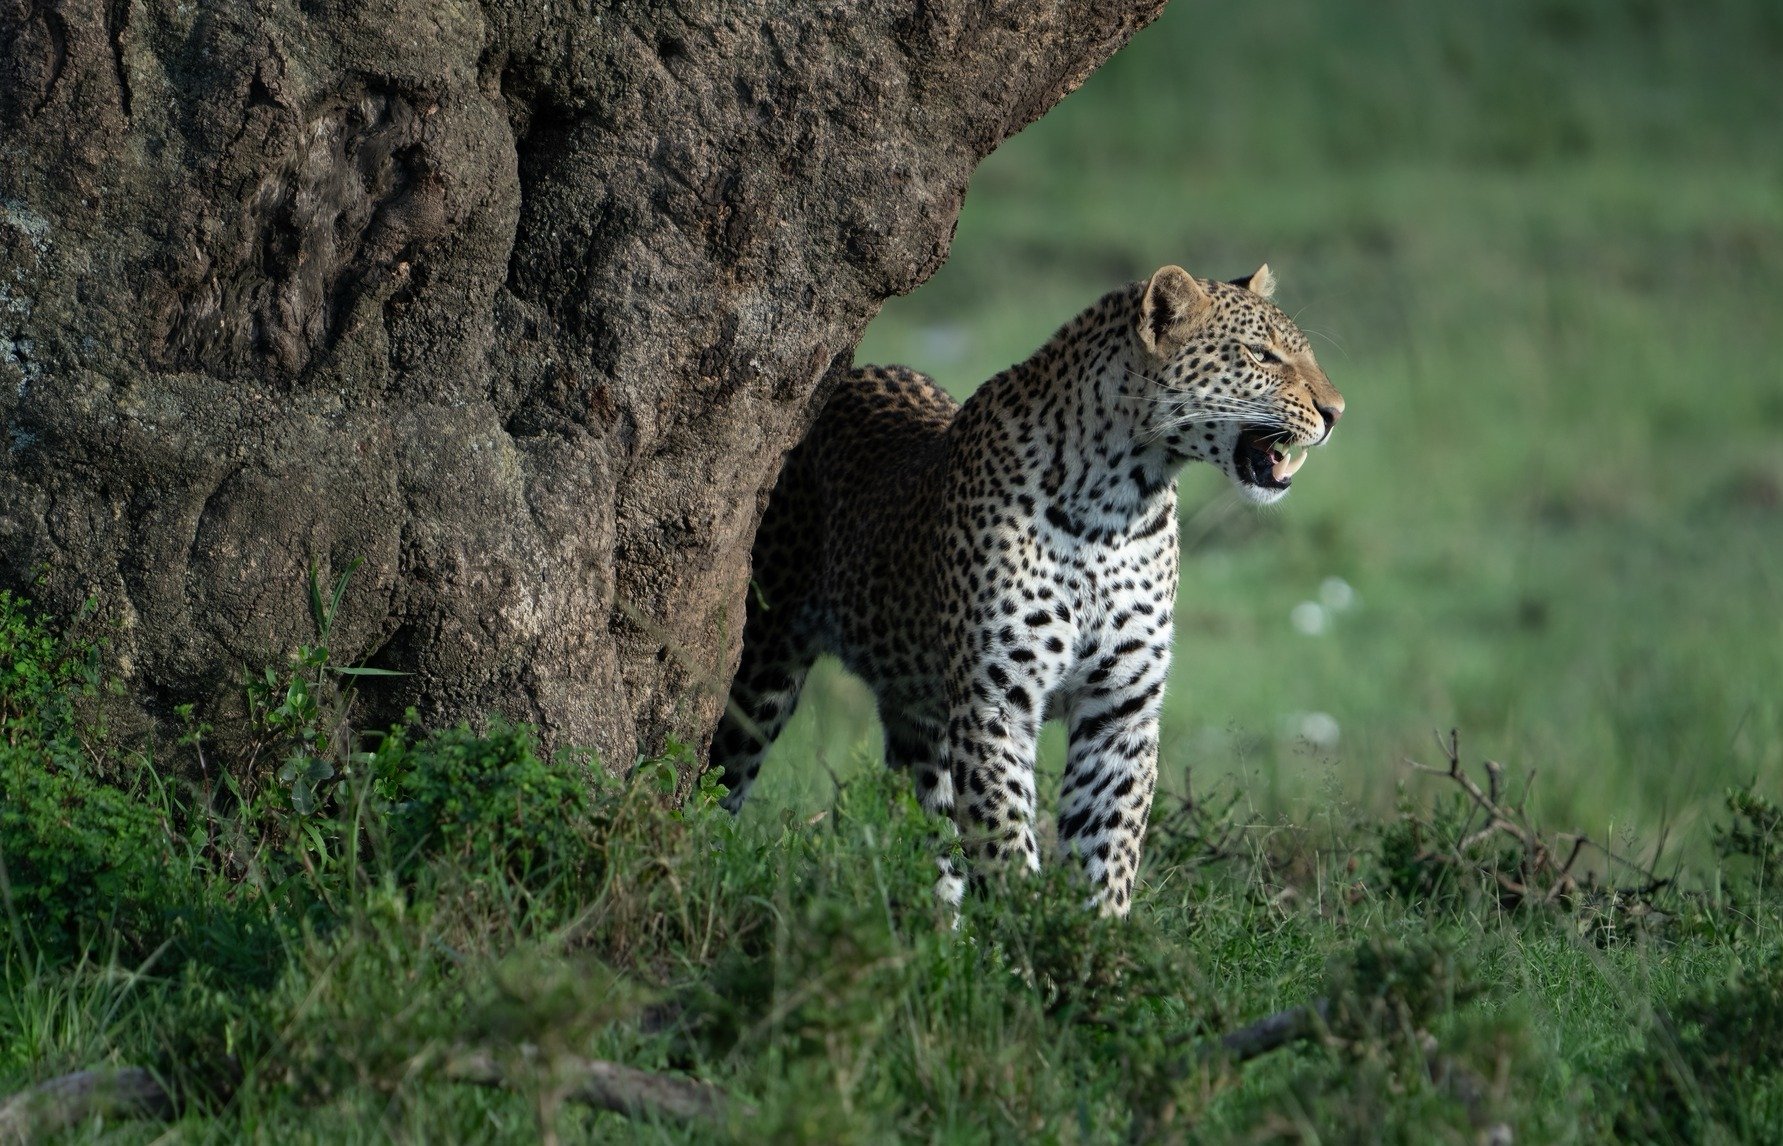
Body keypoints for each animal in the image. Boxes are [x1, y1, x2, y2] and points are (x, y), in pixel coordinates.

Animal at [702, 263, 1340, 919]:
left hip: (920, 714)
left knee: (931, 828)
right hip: (761, 671)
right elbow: (1005, 837)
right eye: (1262, 355)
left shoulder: (1121, 710)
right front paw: (1026, 929)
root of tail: (848, 375)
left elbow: (1106, 846)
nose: (1335, 411)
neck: (1119, 505)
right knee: (721, 777)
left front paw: (1093, 938)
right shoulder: (997, 702)